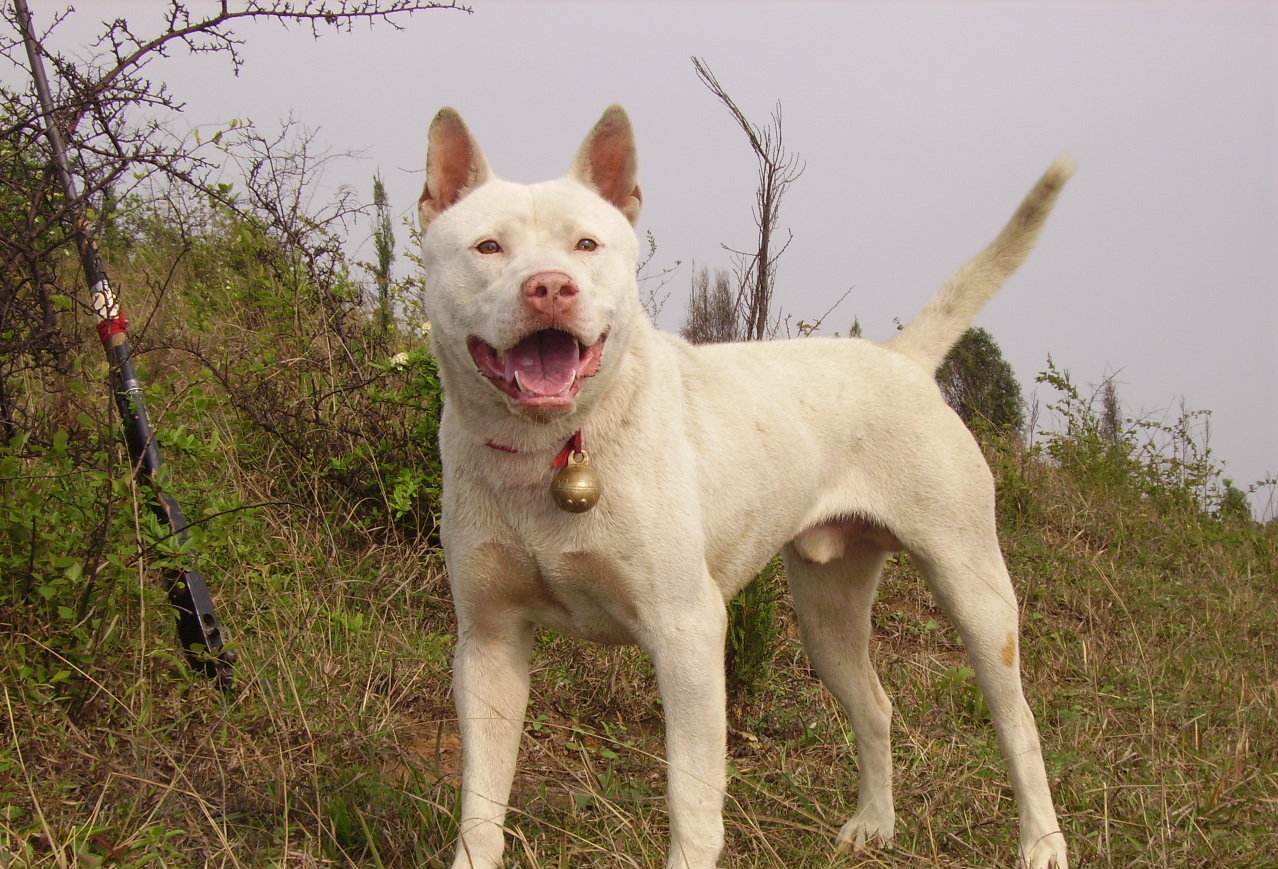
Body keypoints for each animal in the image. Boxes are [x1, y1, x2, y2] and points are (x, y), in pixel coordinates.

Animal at [416, 103, 1068, 869]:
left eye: (586, 244)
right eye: (488, 247)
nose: (550, 286)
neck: (550, 450)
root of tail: (902, 361)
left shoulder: (689, 633)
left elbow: (692, 801)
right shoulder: (488, 645)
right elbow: (482, 807)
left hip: (976, 593)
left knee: (1019, 724)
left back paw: (1042, 842)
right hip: (827, 615)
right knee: (875, 705)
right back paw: (873, 824)